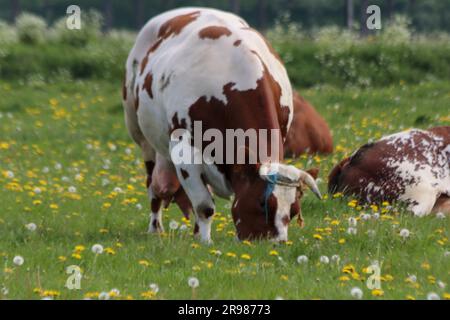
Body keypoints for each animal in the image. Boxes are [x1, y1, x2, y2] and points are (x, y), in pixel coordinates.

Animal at [122, 7, 320, 241]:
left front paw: (199, 236)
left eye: (294, 210)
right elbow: (204, 205)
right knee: (152, 185)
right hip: (141, 136)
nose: (277, 243)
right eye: (262, 204)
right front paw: (205, 242)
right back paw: (155, 227)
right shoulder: (184, 150)